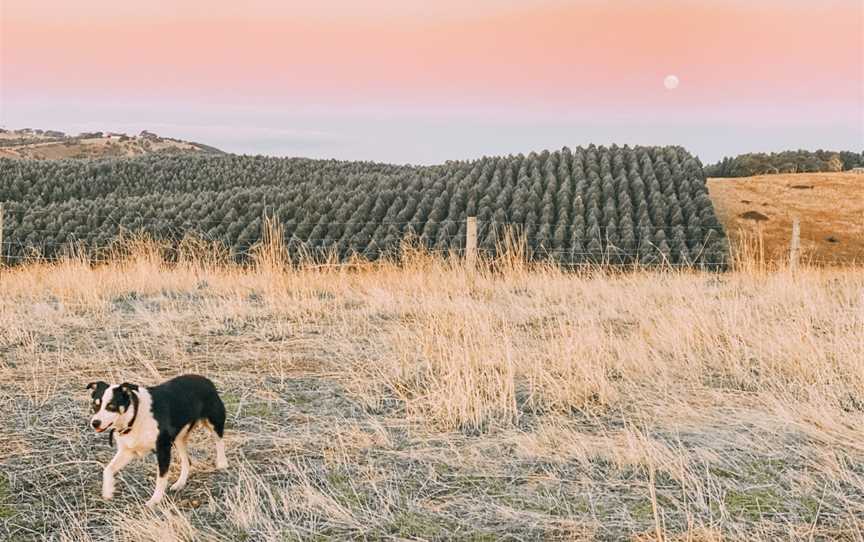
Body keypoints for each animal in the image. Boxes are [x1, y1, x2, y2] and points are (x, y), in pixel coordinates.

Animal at [87, 376, 228, 508]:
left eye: (111, 406)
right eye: (95, 405)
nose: (95, 423)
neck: (134, 415)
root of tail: (205, 379)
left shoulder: (163, 449)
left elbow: (161, 478)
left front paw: (155, 500)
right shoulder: (127, 451)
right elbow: (108, 469)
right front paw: (108, 491)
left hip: (214, 421)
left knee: (219, 440)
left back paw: (222, 463)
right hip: (179, 439)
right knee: (187, 461)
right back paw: (180, 483)